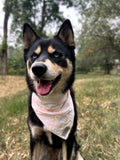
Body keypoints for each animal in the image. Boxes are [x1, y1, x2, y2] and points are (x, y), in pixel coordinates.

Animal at [22, 19, 83, 160]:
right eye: (34, 56)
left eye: (56, 54)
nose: (37, 68)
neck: (50, 102)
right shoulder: (35, 137)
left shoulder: (68, 139)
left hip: (74, 143)